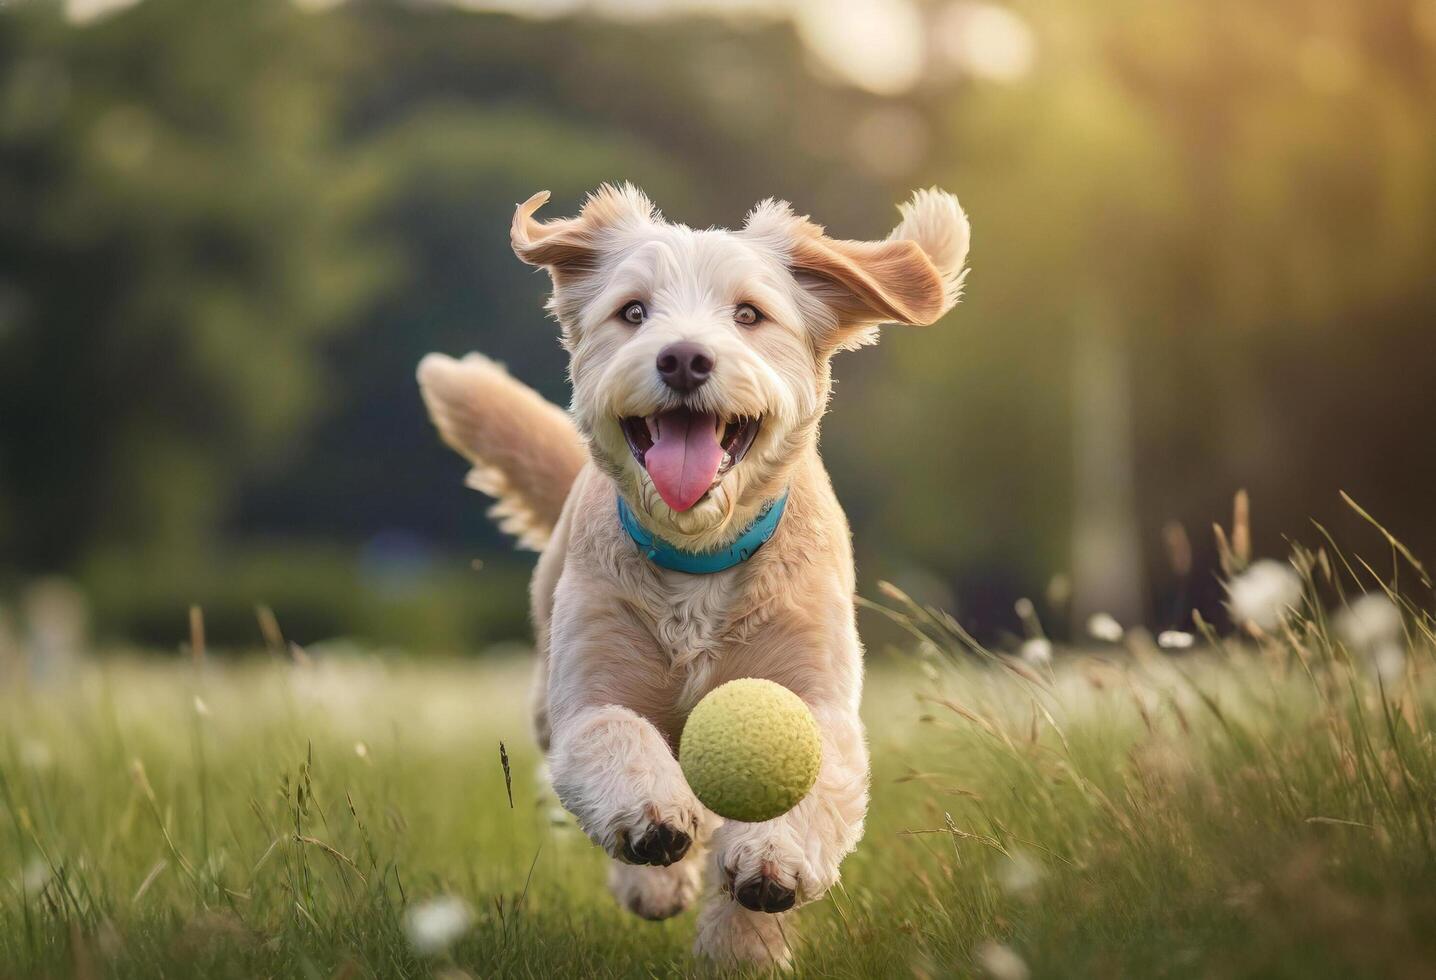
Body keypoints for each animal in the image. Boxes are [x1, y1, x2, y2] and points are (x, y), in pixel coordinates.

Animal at [419, 181, 970, 959]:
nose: (682, 358)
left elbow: (806, 783)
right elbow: (616, 739)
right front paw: (654, 823)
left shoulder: (818, 700)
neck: (698, 560)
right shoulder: (587, 696)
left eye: (748, 314)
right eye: (633, 312)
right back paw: (654, 879)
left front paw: (758, 905)